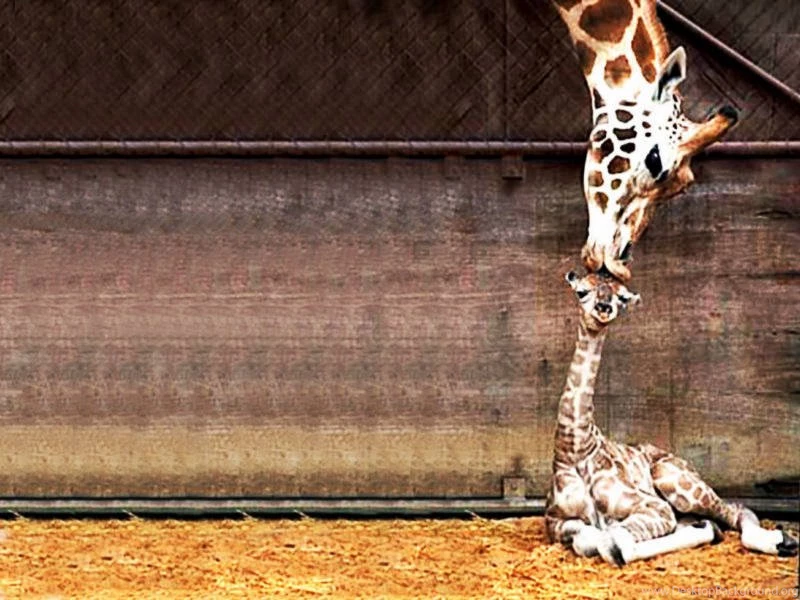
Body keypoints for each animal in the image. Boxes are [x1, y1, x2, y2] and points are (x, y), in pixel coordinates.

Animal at [544, 269, 799, 565]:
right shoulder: (554, 520)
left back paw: (781, 540)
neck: (575, 446)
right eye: (582, 291)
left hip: (675, 482)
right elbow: (587, 539)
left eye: (622, 298)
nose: (604, 308)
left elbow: (613, 543)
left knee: (735, 509)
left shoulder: (655, 506)